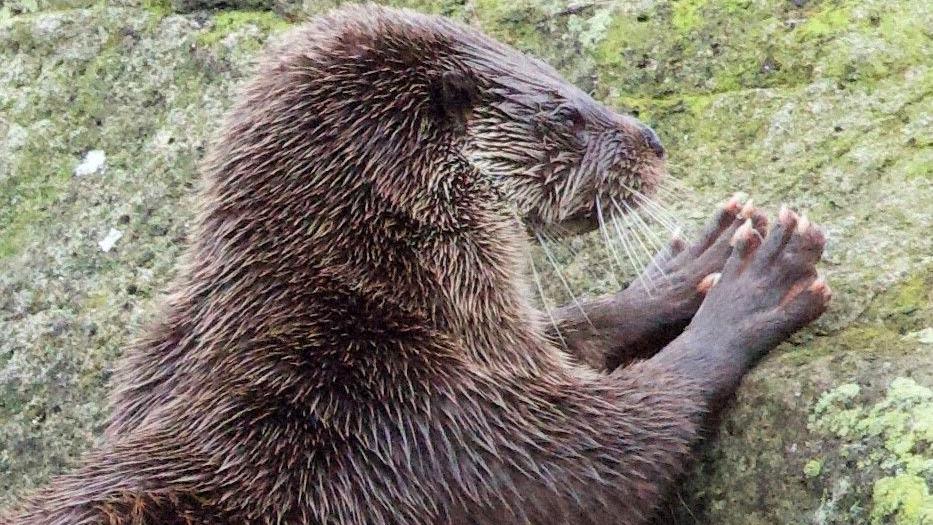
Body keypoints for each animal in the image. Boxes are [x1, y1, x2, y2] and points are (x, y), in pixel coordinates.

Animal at [1, 5, 830, 524]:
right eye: (564, 111)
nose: (653, 139)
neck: (369, 288)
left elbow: (573, 327)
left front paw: (689, 264)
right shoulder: (418, 412)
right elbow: (619, 443)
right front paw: (752, 289)